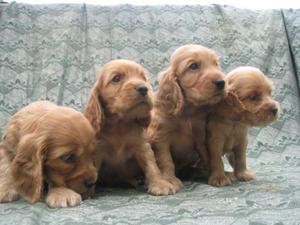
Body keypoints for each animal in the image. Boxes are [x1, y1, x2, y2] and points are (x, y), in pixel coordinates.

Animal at [84, 59, 176, 195]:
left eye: (143, 78)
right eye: (116, 78)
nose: (144, 88)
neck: (120, 125)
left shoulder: (142, 146)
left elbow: (152, 167)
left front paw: (160, 184)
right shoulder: (98, 150)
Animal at [148, 44, 227, 193]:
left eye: (215, 64)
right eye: (194, 66)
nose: (222, 82)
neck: (187, 112)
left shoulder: (200, 137)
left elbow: (208, 156)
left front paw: (218, 175)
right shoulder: (161, 138)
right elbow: (166, 161)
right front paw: (170, 180)